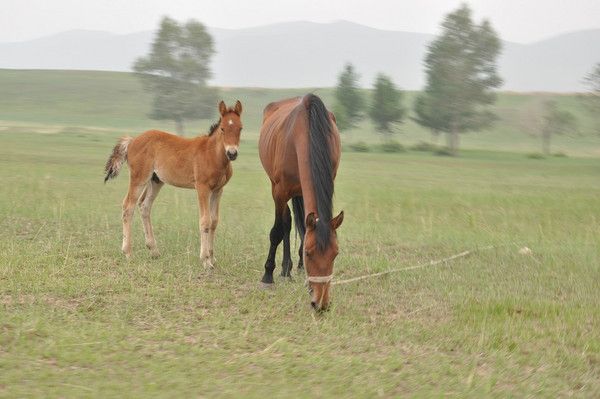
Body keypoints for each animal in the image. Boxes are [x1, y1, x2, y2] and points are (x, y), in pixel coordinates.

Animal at [104, 101, 243, 268]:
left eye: (240, 128)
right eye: (222, 128)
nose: (232, 153)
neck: (212, 154)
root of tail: (132, 140)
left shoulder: (218, 190)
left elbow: (214, 221)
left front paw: (212, 258)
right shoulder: (202, 188)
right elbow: (205, 221)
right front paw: (205, 260)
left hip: (155, 181)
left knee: (144, 205)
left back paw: (154, 250)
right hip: (139, 178)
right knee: (128, 206)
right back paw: (128, 253)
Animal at [258, 94, 342, 312]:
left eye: (336, 254)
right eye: (309, 253)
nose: (321, 303)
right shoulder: (279, 192)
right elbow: (277, 231)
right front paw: (267, 275)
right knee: (286, 223)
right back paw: (284, 269)